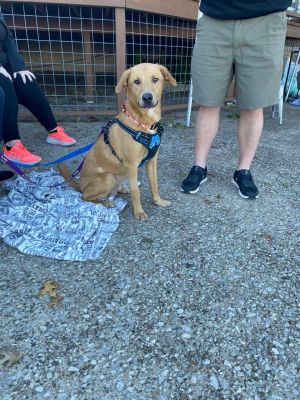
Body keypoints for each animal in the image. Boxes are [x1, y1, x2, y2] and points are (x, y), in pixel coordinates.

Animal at [58, 63, 176, 219]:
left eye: (155, 79)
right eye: (136, 81)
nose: (147, 97)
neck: (143, 123)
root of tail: (80, 185)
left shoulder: (152, 160)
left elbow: (154, 184)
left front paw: (158, 201)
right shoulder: (132, 165)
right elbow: (136, 192)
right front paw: (139, 212)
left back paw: (121, 189)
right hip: (108, 178)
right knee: (85, 197)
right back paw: (106, 202)